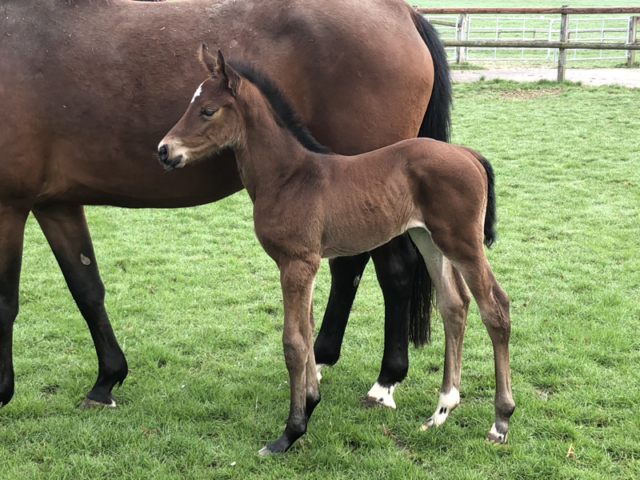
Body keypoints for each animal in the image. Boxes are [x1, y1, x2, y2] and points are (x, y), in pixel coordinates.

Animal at [159, 47, 516, 454]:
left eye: (207, 110)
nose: (164, 151)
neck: (288, 177)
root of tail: (470, 154)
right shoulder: (303, 265)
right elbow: (306, 331)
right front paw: (311, 402)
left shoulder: (297, 263)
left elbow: (294, 342)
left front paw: (291, 431)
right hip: (429, 239)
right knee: (454, 305)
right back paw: (441, 410)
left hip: (462, 241)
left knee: (495, 308)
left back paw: (500, 421)